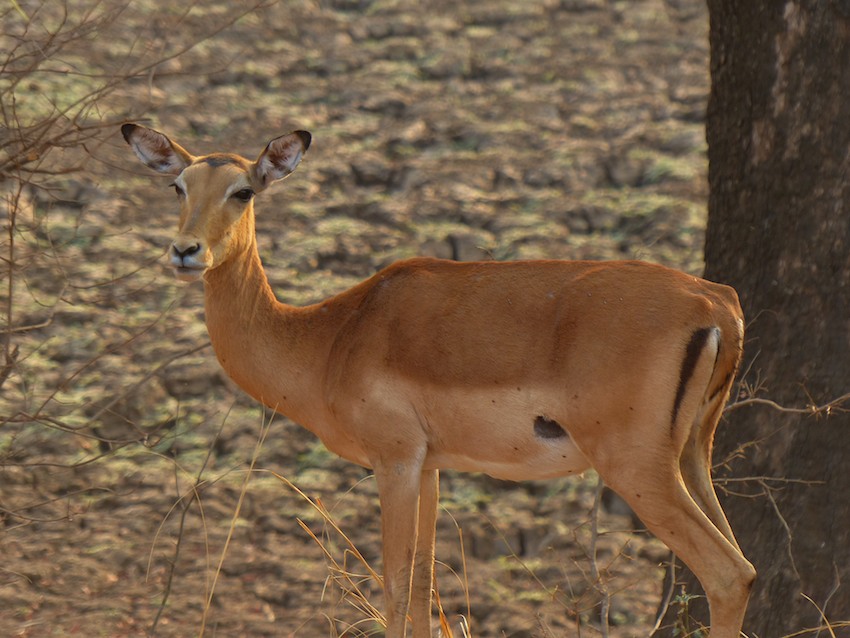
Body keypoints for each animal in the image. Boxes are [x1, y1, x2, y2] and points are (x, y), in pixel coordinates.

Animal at [121, 122, 755, 637]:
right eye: (178, 187)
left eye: (243, 190)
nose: (185, 251)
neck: (332, 337)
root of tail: (715, 303)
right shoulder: (431, 468)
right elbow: (426, 588)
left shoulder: (396, 462)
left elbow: (398, 587)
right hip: (693, 460)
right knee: (745, 567)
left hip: (637, 468)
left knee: (728, 575)